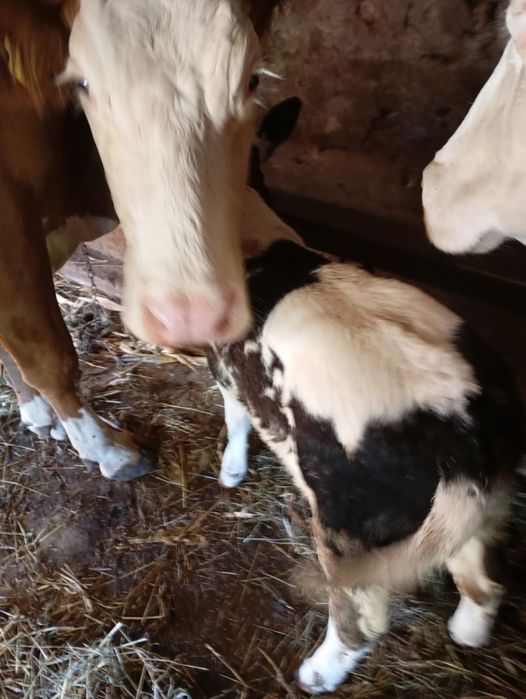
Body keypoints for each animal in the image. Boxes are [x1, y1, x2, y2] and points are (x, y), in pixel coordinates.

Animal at [0, 0, 280, 478]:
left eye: (252, 80)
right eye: (83, 84)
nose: (188, 316)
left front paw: (38, 414)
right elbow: (48, 353)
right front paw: (106, 450)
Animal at [208, 188, 524, 694]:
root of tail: (460, 441)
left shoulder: (226, 369)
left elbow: (235, 419)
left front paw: (230, 472)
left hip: (350, 528)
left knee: (364, 621)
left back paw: (316, 675)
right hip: (488, 503)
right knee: (486, 580)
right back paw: (465, 633)